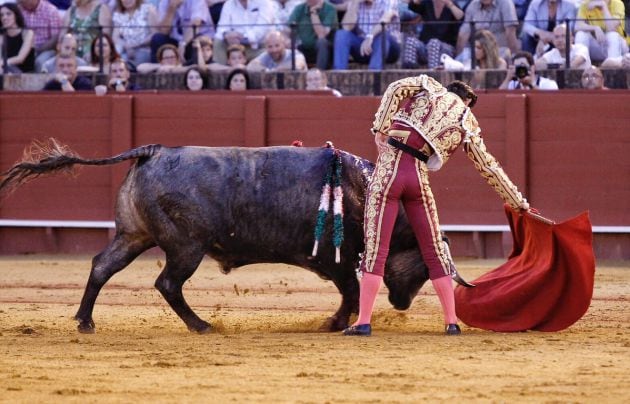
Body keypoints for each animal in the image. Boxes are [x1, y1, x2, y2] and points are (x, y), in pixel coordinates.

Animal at [0, 140, 440, 332]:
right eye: (423, 270)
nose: (401, 305)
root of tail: (154, 150)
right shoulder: (336, 260)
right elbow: (351, 290)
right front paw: (334, 323)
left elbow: (351, 290)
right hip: (186, 247)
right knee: (167, 283)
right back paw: (200, 325)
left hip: (133, 235)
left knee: (102, 267)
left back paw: (85, 321)